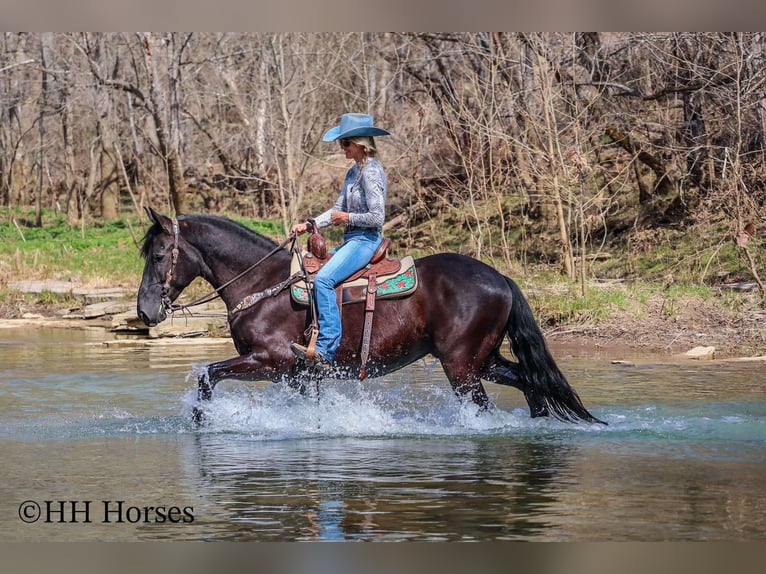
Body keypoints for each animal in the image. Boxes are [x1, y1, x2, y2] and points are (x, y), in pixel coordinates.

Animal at [137, 208, 605, 425]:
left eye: (159, 255)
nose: (144, 310)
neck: (263, 285)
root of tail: (501, 278)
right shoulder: (297, 375)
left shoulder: (271, 360)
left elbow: (207, 375)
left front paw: (201, 419)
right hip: (482, 360)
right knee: (530, 381)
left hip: (461, 366)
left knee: (486, 407)